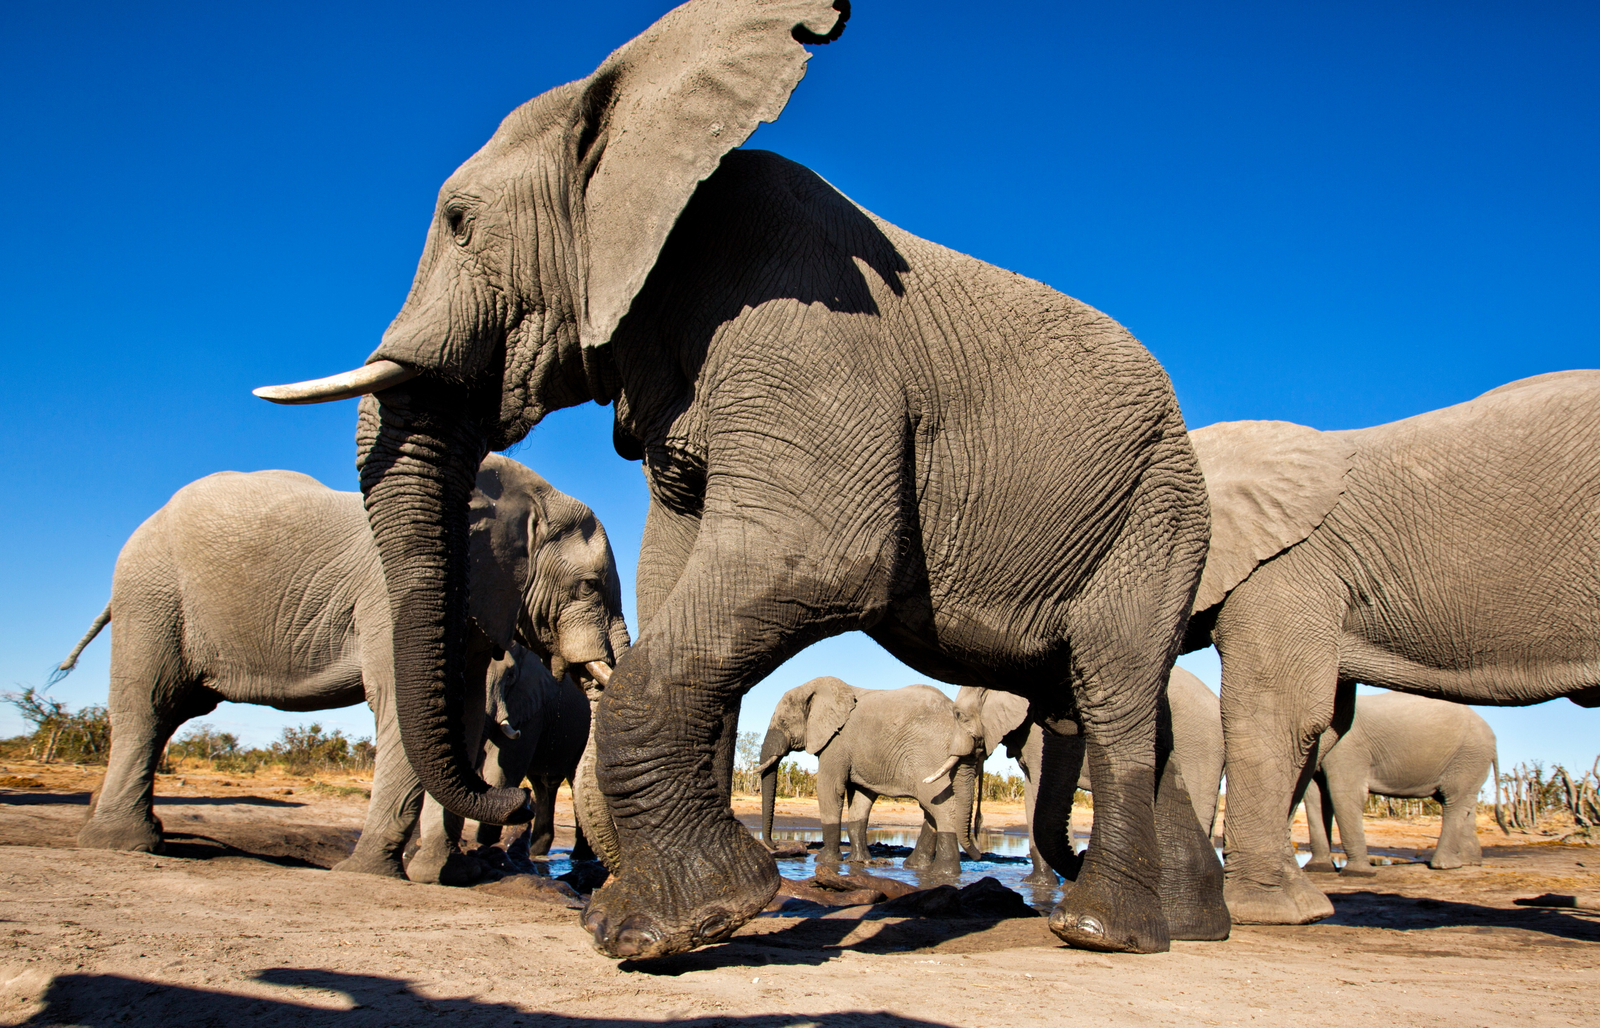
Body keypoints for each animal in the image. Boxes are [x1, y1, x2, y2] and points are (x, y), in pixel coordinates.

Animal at [410, 643, 596, 885]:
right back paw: (536, 852)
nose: (524, 805)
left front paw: (485, 850)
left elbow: (501, 770)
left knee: (573, 779)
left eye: (510, 675)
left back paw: (580, 857)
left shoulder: (529, 704)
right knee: (543, 786)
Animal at [756, 677, 981, 875]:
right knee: (933, 808)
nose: (776, 845)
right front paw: (858, 861)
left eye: (784, 721)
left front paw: (825, 860)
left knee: (941, 808)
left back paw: (945, 873)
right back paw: (915, 867)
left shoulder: (837, 741)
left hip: (930, 755)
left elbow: (830, 788)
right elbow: (861, 800)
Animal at [1302, 690, 1499, 876]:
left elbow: (1345, 793)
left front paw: (1357, 873)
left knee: (1454, 800)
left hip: (1469, 755)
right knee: (1463, 802)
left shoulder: (1348, 746)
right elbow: (1315, 797)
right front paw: (1317, 869)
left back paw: (1444, 865)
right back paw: (1468, 862)